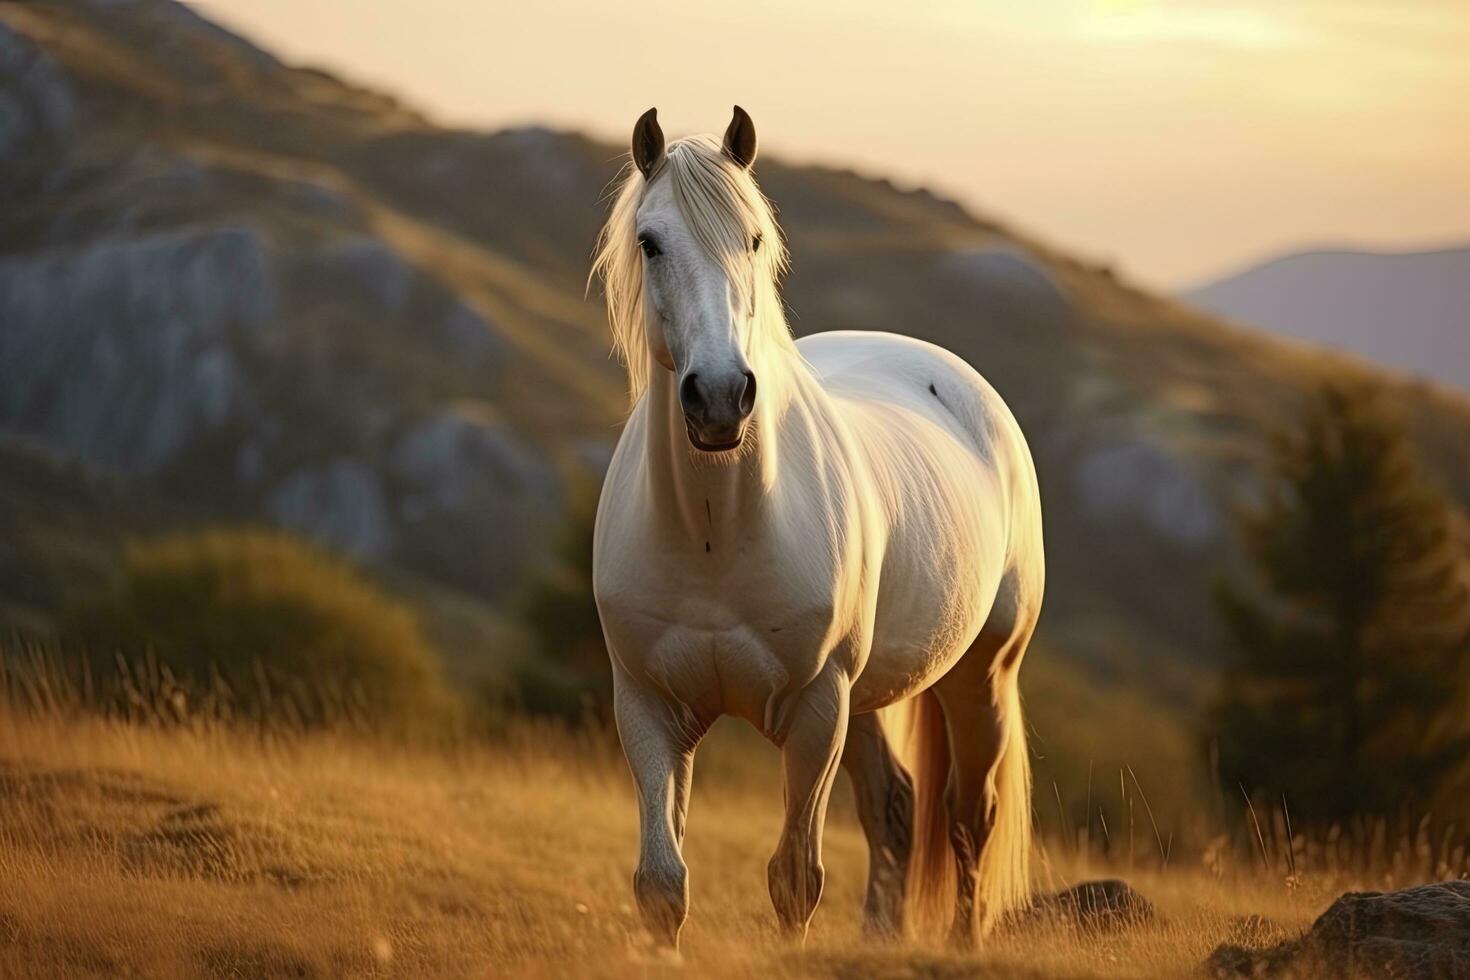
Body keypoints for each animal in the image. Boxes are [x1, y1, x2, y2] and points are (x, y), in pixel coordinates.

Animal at [588, 107, 1046, 952]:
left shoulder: (815, 711)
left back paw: (964, 945)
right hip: (872, 697)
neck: (718, 533)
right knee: (896, 809)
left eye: (753, 239)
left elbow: (794, 880)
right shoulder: (648, 707)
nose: (720, 397)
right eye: (650, 241)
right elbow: (661, 884)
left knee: (972, 818)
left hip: (981, 675)